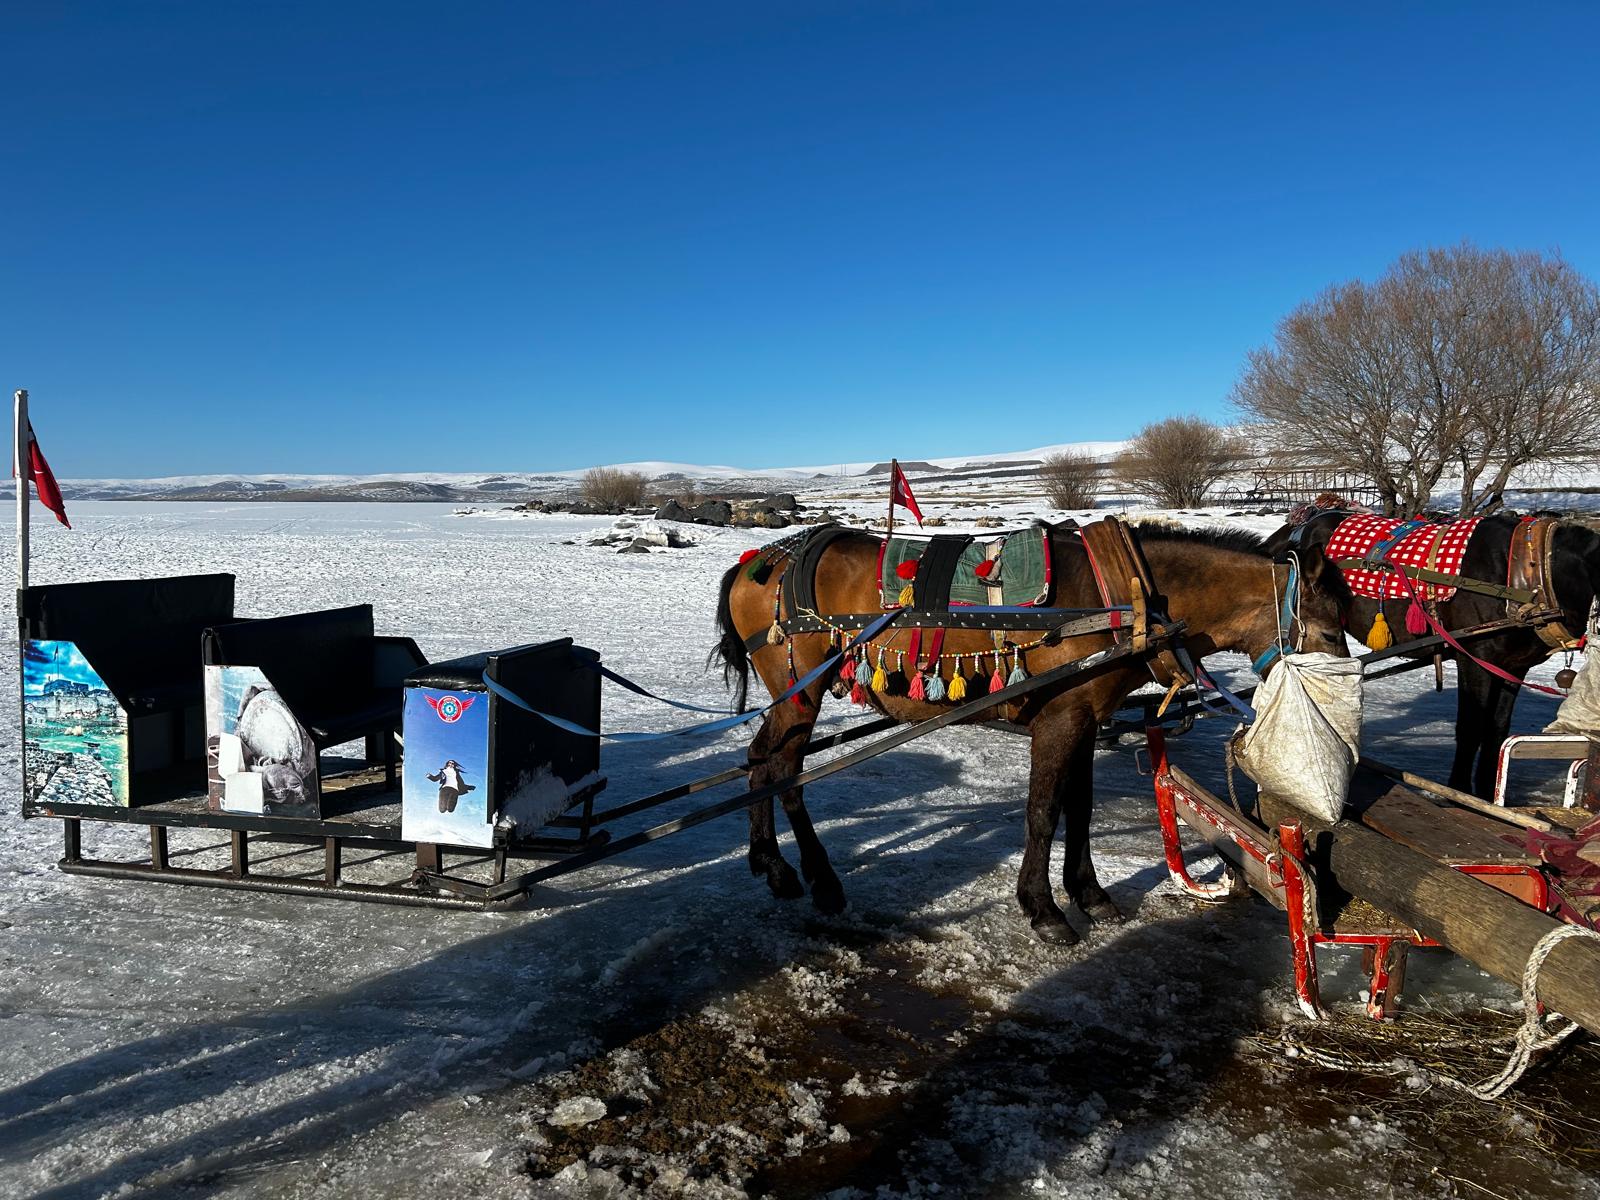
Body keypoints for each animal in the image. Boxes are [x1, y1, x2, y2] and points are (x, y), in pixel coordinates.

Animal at [712, 521, 1351, 944]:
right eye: (1328, 631)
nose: (1346, 691)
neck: (1125, 599)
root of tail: (758, 561)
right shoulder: (1060, 719)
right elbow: (1043, 812)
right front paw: (1044, 909)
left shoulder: (1085, 719)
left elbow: (1079, 809)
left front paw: (1090, 893)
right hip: (800, 691)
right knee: (781, 770)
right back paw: (815, 878)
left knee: (761, 761)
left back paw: (775, 866)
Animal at [1264, 510, 1600, 798]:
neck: (1527, 575)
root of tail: (1296, 529)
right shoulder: (1475, 660)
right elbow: (1471, 727)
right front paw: (1460, 792)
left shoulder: (1513, 668)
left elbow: (1496, 730)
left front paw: (1487, 795)